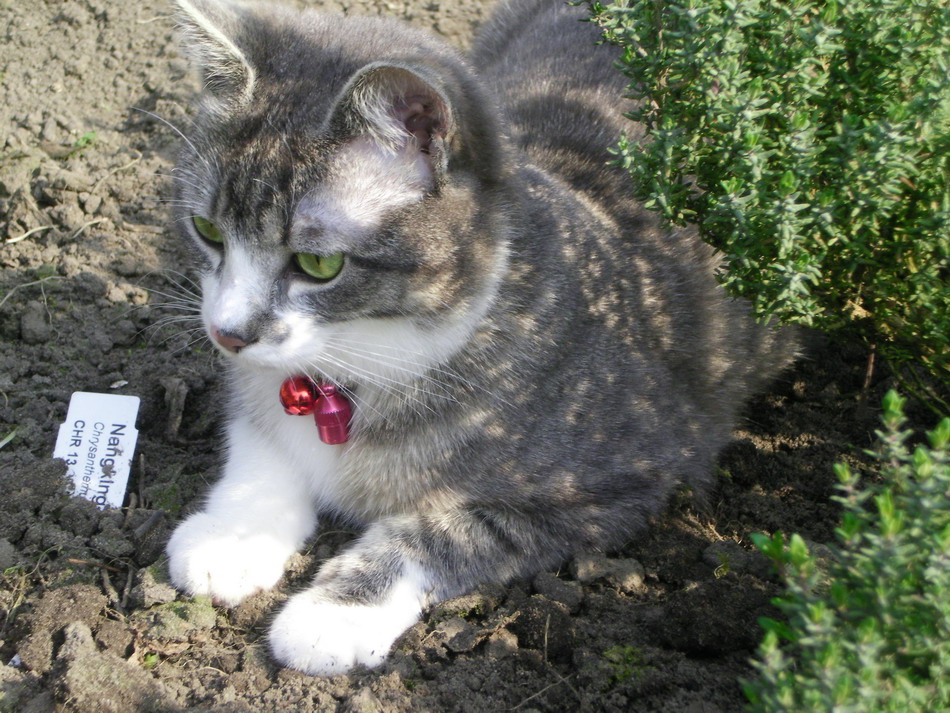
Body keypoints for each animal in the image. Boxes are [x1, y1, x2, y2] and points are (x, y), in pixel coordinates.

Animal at [165, 0, 796, 675]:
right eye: (207, 230)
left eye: (317, 264)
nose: (227, 333)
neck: (363, 358)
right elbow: (260, 446)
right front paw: (231, 539)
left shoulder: (621, 479)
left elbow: (442, 533)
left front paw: (334, 613)